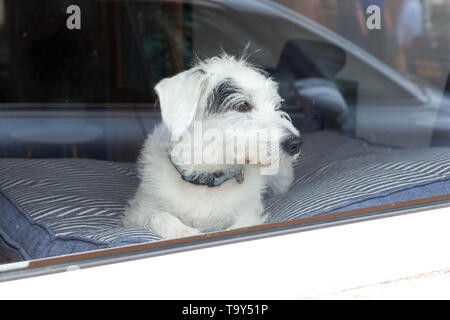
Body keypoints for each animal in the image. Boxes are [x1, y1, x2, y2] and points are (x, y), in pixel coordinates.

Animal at [123, 53, 302, 239]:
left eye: (276, 105)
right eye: (242, 105)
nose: (296, 143)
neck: (207, 178)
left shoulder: (249, 214)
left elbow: (240, 227)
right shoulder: (137, 213)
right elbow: (158, 217)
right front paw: (185, 232)